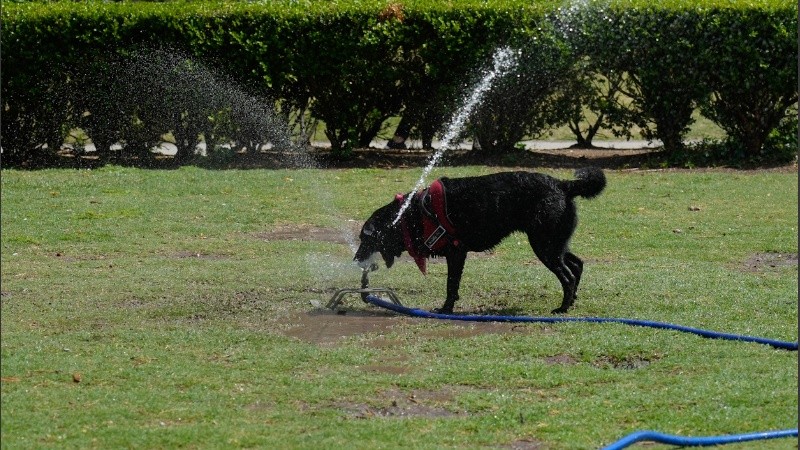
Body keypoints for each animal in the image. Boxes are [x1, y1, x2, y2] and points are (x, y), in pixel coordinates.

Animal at [356, 167, 608, 314]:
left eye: (364, 239)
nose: (356, 259)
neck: (410, 215)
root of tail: (562, 184)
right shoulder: (457, 255)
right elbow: (453, 284)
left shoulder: (456, 253)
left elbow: (451, 284)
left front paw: (446, 309)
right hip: (554, 243)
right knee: (577, 265)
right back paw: (572, 300)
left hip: (545, 246)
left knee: (567, 276)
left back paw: (563, 308)